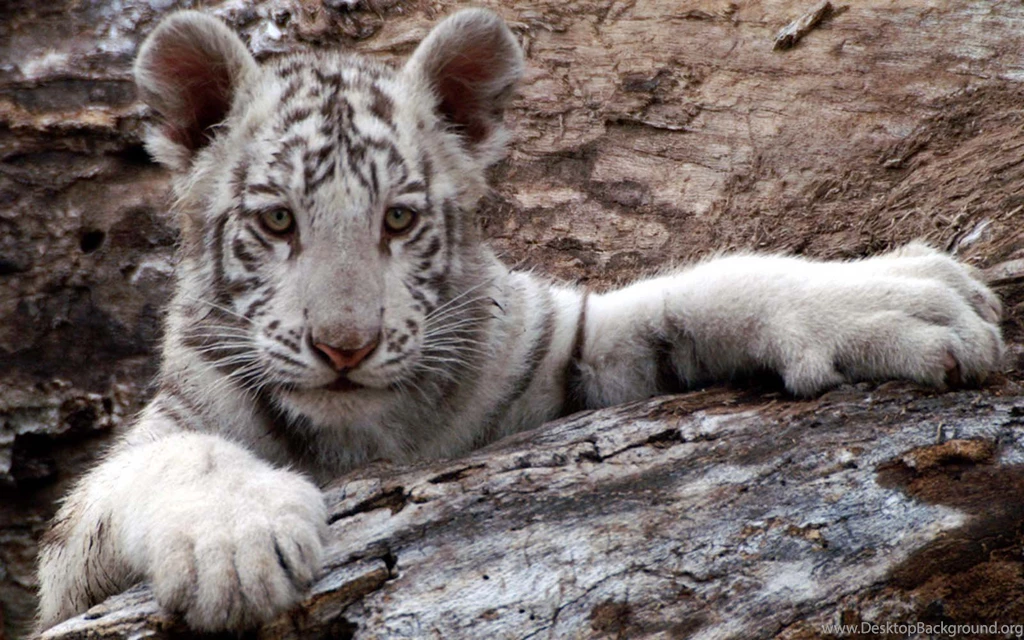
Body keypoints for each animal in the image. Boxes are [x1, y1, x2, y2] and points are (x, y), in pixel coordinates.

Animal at [36, 7, 1004, 633]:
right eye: (278, 221)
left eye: (399, 219)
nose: (345, 347)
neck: (362, 433)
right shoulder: (70, 566)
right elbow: (171, 458)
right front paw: (237, 544)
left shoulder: (554, 351)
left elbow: (702, 289)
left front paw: (901, 297)